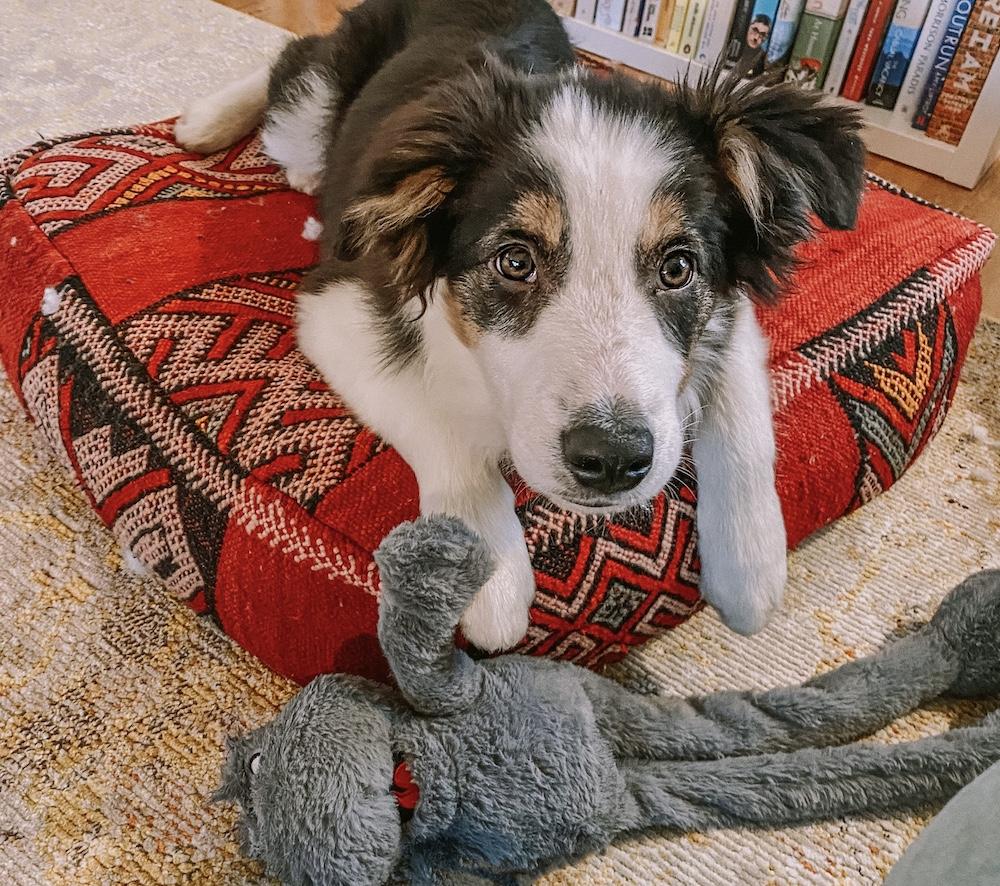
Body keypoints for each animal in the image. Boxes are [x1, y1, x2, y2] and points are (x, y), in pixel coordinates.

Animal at [180, 0, 868, 652]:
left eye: (678, 268)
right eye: (515, 261)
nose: (612, 460)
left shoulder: (730, 308)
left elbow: (742, 415)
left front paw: (751, 570)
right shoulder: (337, 303)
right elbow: (440, 423)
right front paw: (492, 579)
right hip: (315, 103)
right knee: (298, 63)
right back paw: (205, 121)